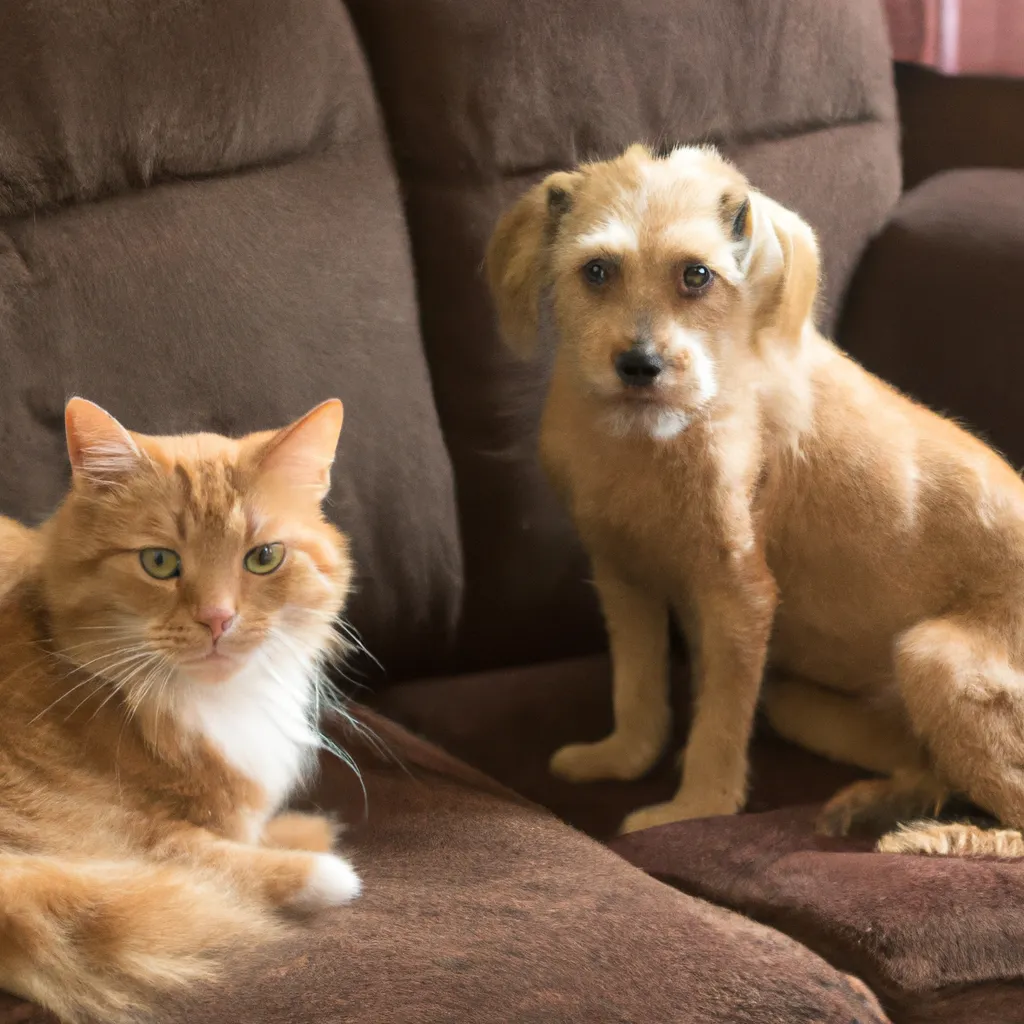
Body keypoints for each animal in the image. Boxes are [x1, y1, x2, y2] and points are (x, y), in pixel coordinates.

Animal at [0, 397, 364, 1024]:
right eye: (159, 561)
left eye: (264, 558)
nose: (217, 619)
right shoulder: (98, 832)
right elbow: (197, 861)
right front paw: (318, 868)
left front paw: (301, 829)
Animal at [485, 140, 1024, 851]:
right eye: (596, 270)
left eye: (697, 275)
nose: (640, 365)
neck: (646, 438)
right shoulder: (624, 578)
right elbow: (638, 694)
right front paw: (621, 759)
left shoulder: (738, 598)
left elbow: (718, 723)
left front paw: (694, 809)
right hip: (807, 704)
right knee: (933, 768)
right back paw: (877, 804)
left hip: (935, 662)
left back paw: (931, 838)